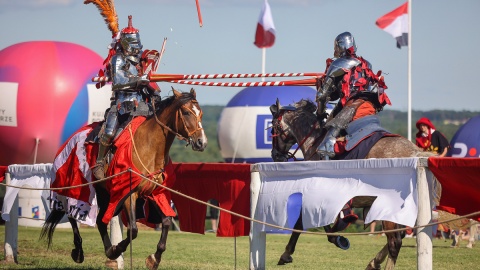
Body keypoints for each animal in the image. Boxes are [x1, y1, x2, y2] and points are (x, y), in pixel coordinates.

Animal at [40, 88, 206, 270]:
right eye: (186, 112)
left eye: (200, 113)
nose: (201, 142)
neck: (151, 147)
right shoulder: (128, 193)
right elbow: (133, 229)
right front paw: (117, 250)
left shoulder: (155, 193)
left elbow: (167, 221)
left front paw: (153, 258)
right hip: (75, 185)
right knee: (71, 213)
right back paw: (79, 251)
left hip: (105, 193)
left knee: (100, 221)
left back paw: (106, 250)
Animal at [268, 99, 436, 270]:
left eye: (274, 125)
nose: (276, 155)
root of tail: (416, 153)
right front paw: (337, 239)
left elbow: (300, 223)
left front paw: (286, 254)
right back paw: (374, 262)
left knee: (395, 242)